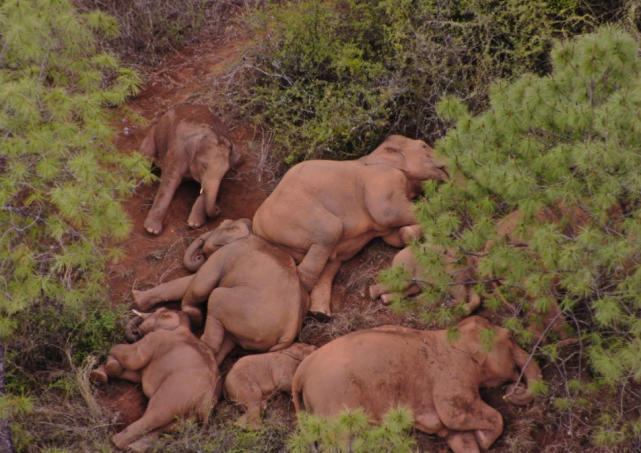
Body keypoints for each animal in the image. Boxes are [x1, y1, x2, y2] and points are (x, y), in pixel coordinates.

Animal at [131, 218, 308, 364]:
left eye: (221, 225)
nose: (199, 256)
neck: (248, 232)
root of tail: (289, 332)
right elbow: (190, 282)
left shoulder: (226, 253)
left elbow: (199, 284)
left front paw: (193, 315)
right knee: (229, 340)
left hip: (243, 310)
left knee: (215, 298)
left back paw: (202, 342)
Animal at [140, 104, 240, 235]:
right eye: (204, 166)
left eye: (226, 171)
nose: (218, 208)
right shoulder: (178, 153)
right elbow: (169, 182)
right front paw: (152, 230)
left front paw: (194, 223)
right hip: (153, 135)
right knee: (145, 154)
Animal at [252, 134, 448, 318]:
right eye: (424, 145)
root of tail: (256, 225)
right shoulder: (382, 178)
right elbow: (387, 212)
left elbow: (392, 236)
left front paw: (408, 233)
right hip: (290, 212)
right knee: (330, 230)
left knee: (331, 262)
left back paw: (320, 313)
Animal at [292, 314, 544, 452]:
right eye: (510, 337)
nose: (512, 389)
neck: (453, 335)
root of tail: (300, 371)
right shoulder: (452, 373)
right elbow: (454, 415)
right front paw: (483, 440)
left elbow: (458, 434)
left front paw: (465, 440)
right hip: (334, 401)